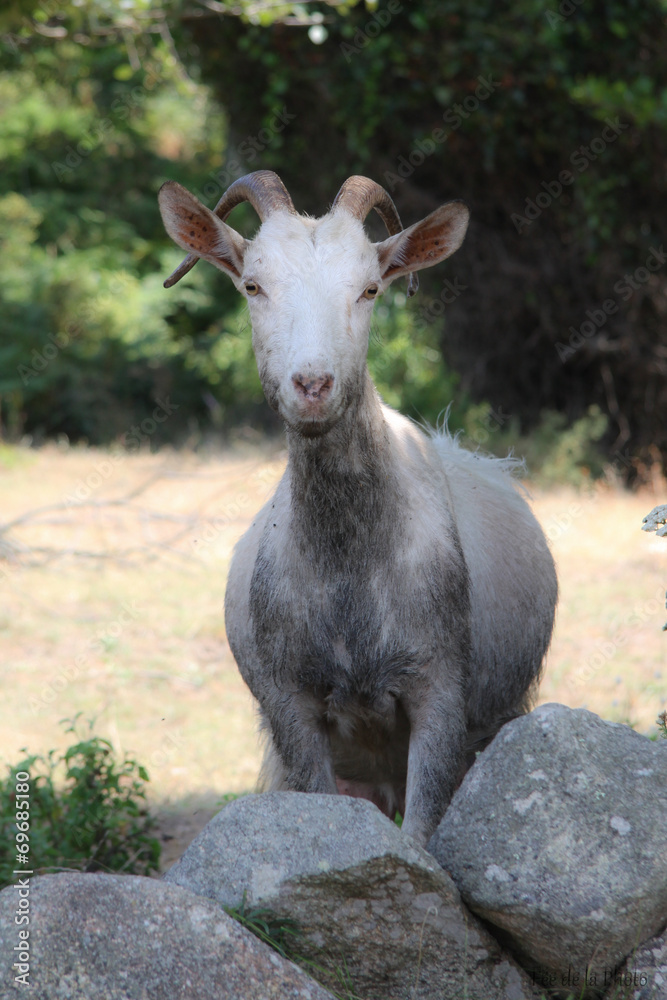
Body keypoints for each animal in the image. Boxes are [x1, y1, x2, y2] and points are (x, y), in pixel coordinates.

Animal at [158, 171, 558, 846]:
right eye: (253, 285)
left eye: (370, 288)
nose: (313, 385)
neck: (349, 571)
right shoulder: (289, 705)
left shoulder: (440, 690)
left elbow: (421, 835)